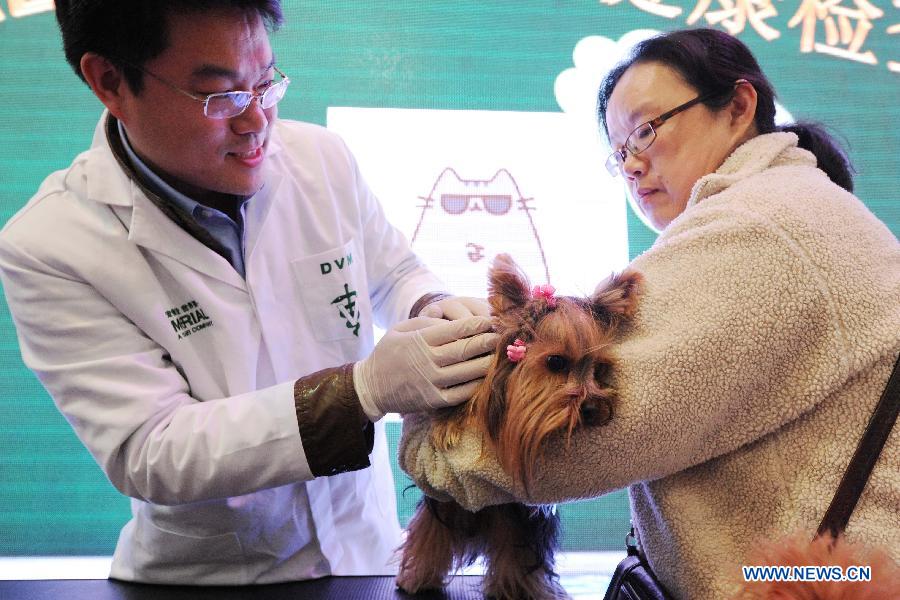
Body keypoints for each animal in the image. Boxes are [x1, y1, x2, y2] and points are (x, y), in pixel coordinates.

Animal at [400, 254, 640, 600]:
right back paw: (418, 577)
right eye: (556, 363)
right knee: (431, 531)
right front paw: (447, 424)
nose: (593, 408)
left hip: (517, 519)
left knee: (515, 550)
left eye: (600, 368)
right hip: (447, 509)